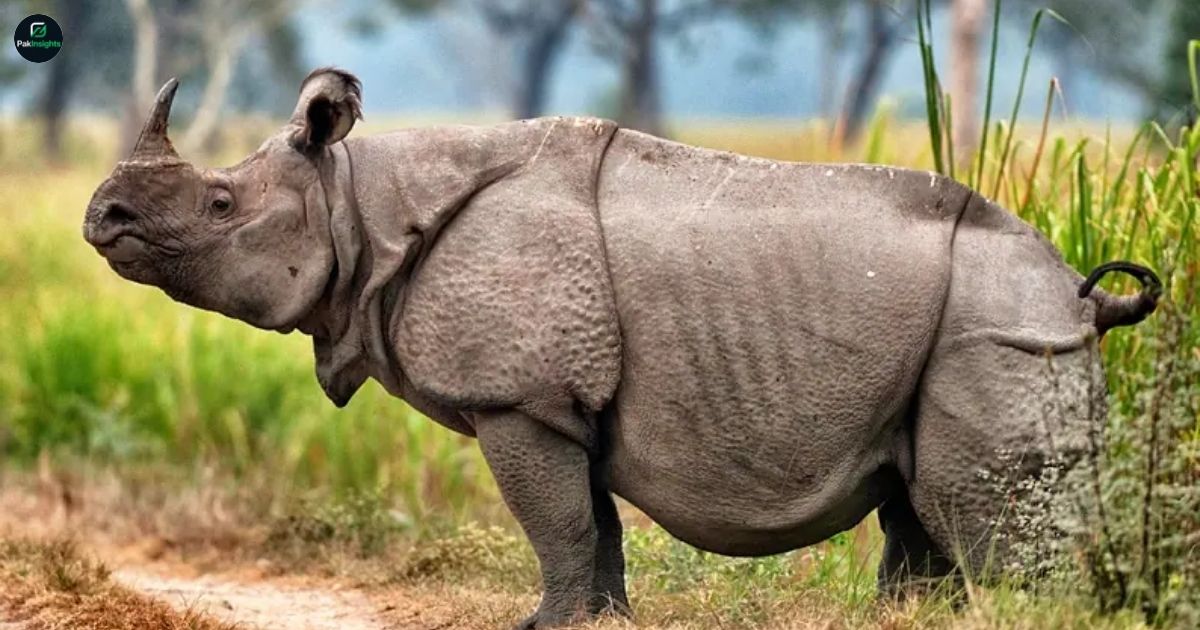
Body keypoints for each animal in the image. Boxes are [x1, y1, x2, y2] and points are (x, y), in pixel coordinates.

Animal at [83, 69, 1159, 628]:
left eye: (220, 205)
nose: (104, 218)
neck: (360, 207)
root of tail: (1079, 294)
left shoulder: (519, 396)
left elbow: (556, 522)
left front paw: (542, 627)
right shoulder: (562, 402)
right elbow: (589, 523)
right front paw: (598, 624)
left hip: (1009, 330)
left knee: (986, 521)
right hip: (981, 329)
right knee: (918, 506)